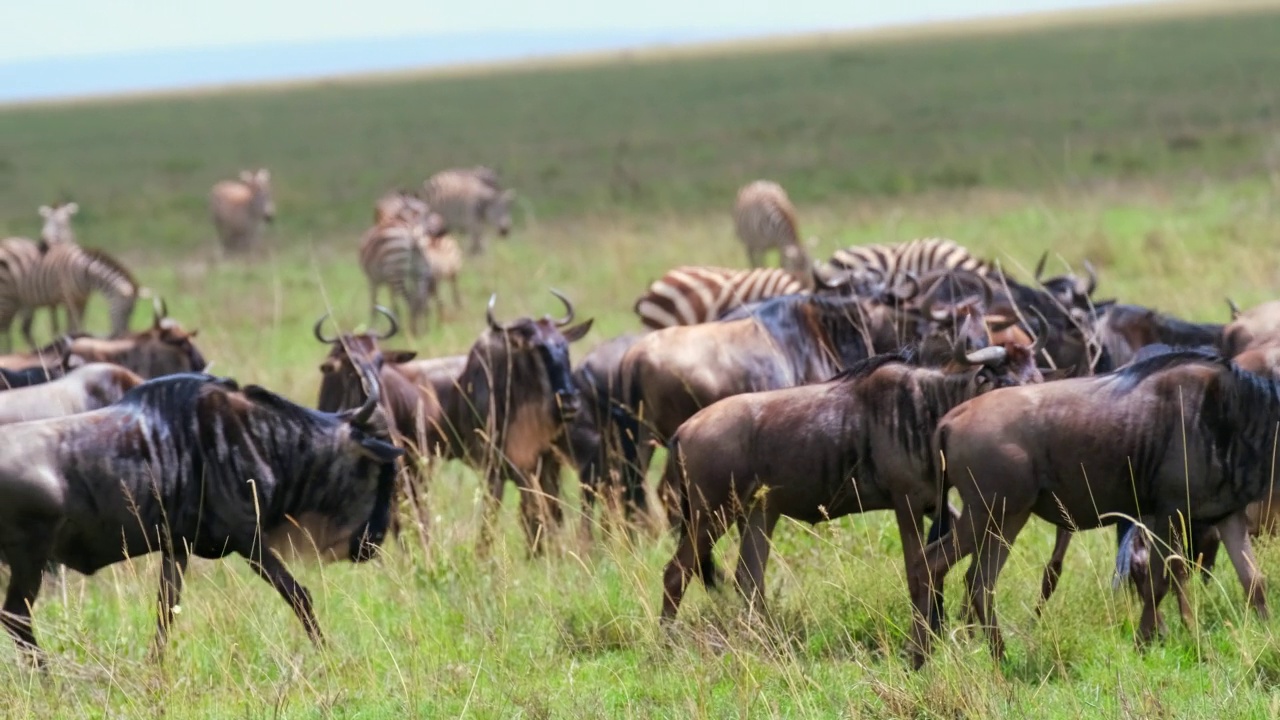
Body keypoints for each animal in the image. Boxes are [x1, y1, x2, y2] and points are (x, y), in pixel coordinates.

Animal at [0, 238, 140, 351]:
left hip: (23, 301)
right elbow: (72, 327)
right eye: (128, 311)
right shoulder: (68, 299)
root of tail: (5, 243)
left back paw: (36, 351)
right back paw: (9, 353)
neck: (84, 272)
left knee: (24, 329)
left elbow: (80, 325)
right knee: (5, 328)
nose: (124, 337)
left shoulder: (83, 300)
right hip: (7, 299)